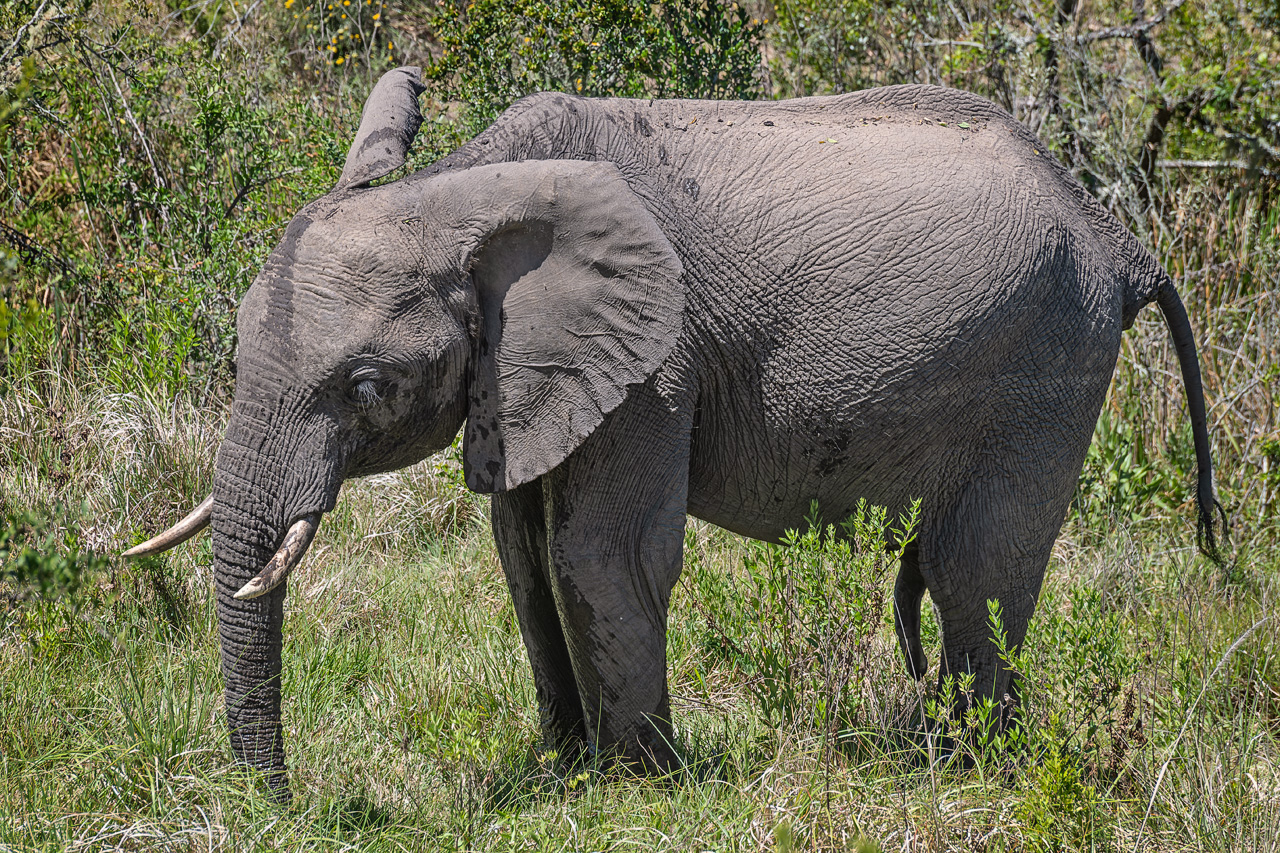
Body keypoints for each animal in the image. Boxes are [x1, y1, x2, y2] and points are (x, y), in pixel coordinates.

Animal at [126, 66, 1223, 797]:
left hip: (1047, 359)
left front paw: (640, 785)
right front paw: (564, 770)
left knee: (977, 565)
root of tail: (1120, 243)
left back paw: (966, 769)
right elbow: (522, 553)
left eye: (364, 384)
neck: (466, 184)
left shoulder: (657, 359)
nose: (281, 801)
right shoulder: (527, 373)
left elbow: (599, 551)